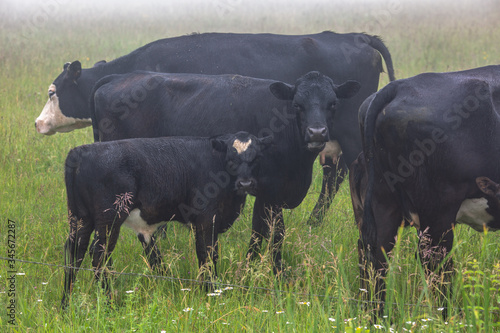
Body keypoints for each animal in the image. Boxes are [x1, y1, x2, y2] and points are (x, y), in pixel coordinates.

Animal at [36, 31, 394, 226]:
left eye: (52, 92)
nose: (38, 123)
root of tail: (356, 36)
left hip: (350, 136)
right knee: (334, 176)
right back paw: (314, 223)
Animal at [62, 131, 274, 308]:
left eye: (256, 157)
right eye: (231, 158)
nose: (245, 183)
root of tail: (80, 151)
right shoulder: (206, 219)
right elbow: (207, 254)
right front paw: (211, 291)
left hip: (80, 217)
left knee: (75, 252)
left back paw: (66, 303)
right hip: (109, 218)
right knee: (99, 254)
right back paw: (109, 303)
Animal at [90, 69, 362, 272]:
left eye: (333, 103)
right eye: (297, 104)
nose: (317, 132)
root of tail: (118, 77)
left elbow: (262, 232)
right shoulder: (269, 192)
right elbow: (271, 234)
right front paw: (267, 271)